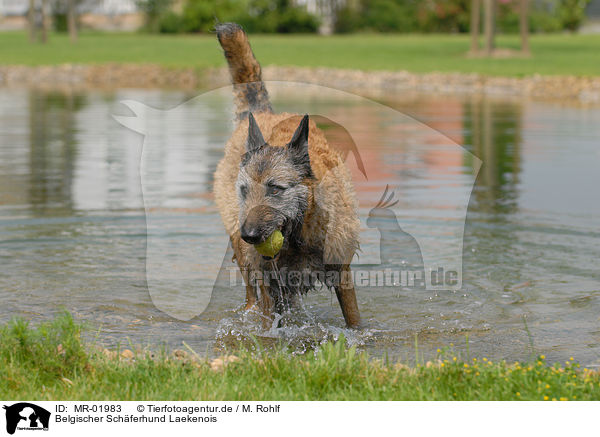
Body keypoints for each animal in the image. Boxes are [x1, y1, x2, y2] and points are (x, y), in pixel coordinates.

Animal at [213, 22, 360, 326]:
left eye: (275, 189)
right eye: (244, 190)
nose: (250, 235)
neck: (300, 233)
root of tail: (260, 114)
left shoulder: (342, 273)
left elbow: (355, 322)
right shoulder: (268, 281)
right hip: (242, 252)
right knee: (250, 296)